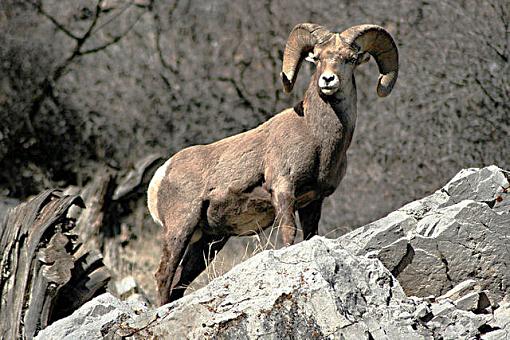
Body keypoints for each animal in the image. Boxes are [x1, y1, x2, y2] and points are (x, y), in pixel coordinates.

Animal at [147, 23, 398, 306]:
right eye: (317, 58)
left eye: (351, 59)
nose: (328, 80)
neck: (315, 136)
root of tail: (161, 174)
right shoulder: (283, 190)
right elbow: (289, 235)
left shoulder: (313, 201)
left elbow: (309, 235)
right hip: (181, 228)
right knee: (164, 275)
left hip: (209, 243)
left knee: (180, 283)